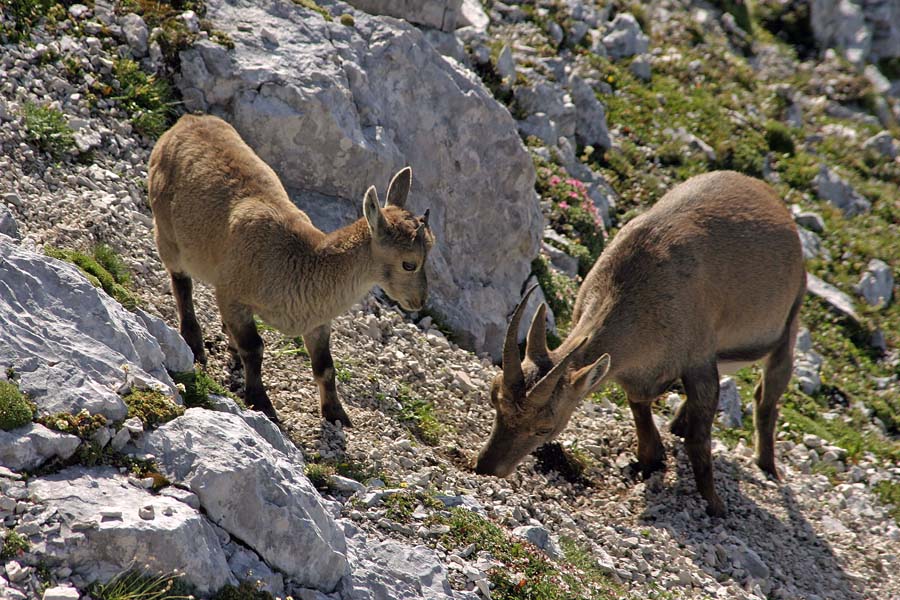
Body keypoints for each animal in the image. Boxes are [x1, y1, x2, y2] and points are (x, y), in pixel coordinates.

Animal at [148, 114, 434, 426]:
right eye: (409, 263)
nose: (419, 301)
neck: (299, 263)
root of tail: (187, 120)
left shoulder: (318, 321)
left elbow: (325, 367)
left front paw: (336, 414)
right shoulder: (233, 296)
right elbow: (254, 347)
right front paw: (261, 402)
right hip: (166, 231)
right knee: (181, 283)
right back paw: (194, 343)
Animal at [475, 171, 805, 516]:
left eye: (544, 426)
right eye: (494, 398)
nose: (487, 467)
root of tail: (767, 194)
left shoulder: (698, 357)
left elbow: (699, 440)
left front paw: (714, 504)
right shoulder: (644, 372)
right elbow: (640, 407)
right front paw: (651, 459)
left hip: (788, 321)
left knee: (766, 395)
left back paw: (767, 465)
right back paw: (678, 424)